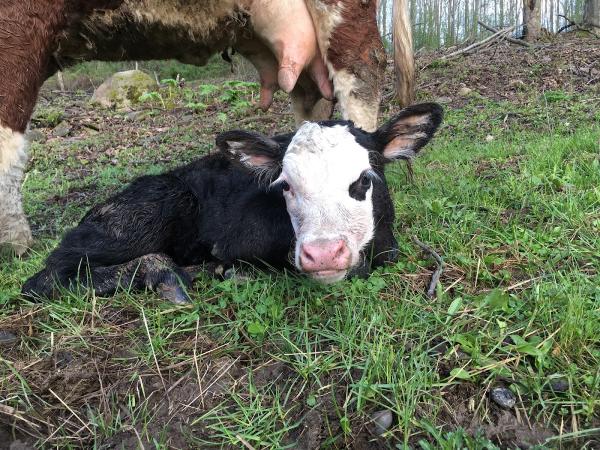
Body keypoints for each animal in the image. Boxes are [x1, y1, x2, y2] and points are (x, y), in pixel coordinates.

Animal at [23, 103, 442, 304]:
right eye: (286, 186)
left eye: (364, 180)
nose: (322, 254)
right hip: (141, 216)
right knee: (46, 277)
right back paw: (169, 275)